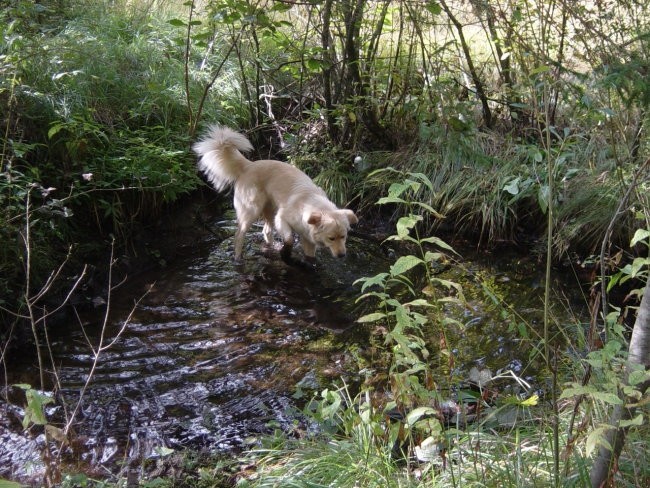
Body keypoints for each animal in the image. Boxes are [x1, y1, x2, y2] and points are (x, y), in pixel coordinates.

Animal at [192, 126, 356, 264]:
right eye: (331, 238)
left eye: (344, 236)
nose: (342, 255)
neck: (308, 205)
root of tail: (249, 165)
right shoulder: (282, 218)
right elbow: (289, 239)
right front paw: (285, 253)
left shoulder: (308, 238)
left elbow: (310, 256)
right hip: (251, 211)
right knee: (239, 235)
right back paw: (238, 258)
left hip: (269, 209)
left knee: (266, 231)